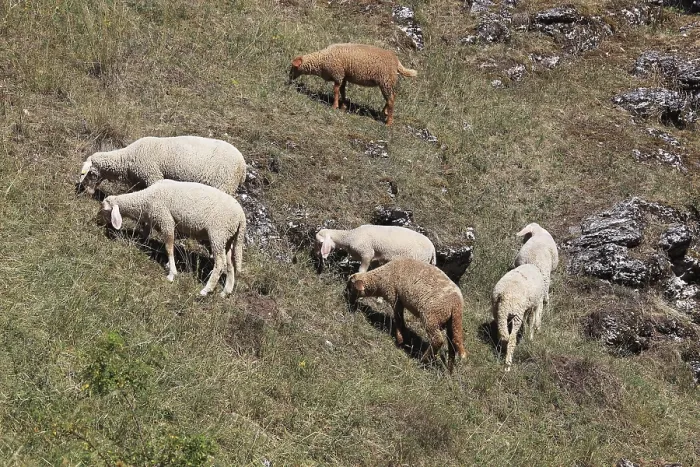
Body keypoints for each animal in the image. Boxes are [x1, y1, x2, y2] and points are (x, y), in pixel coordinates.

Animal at [79, 135, 247, 196]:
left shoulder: (152, 174)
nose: (87, 192)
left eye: (89, 173)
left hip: (225, 184)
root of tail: (243, 166)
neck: (127, 158)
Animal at [99, 179, 246, 297]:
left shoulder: (166, 219)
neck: (146, 199)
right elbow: (150, 234)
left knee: (220, 263)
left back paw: (206, 290)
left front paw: (172, 273)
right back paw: (226, 291)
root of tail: (241, 217)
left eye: (104, 209)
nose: (98, 221)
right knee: (230, 264)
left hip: (218, 232)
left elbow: (169, 248)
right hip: (227, 238)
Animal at [288, 43, 418, 125]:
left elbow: (336, 90)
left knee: (390, 99)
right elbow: (342, 91)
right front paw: (343, 106)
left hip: (385, 80)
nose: (289, 79)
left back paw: (389, 123)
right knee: (392, 97)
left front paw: (334, 106)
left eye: (293, 67)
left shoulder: (338, 74)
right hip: (388, 82)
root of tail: (396, 61)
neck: (321, 60)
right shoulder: (343, 76)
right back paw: (383, 113)